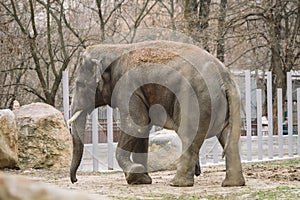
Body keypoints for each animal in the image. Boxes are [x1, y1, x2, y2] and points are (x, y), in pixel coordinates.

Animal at [68, 39, 246, 187]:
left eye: (79, 84)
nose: (75, 180)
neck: (113, 48)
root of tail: (224, 79)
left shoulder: (128, 87)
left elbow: (136, 125)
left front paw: (134, 175)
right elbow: (142, 130)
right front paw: (142, 180)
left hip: (194, 99)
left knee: (189, 135)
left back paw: (177, 184)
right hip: (231, 101)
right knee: (229, 137)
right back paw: (232, 184)